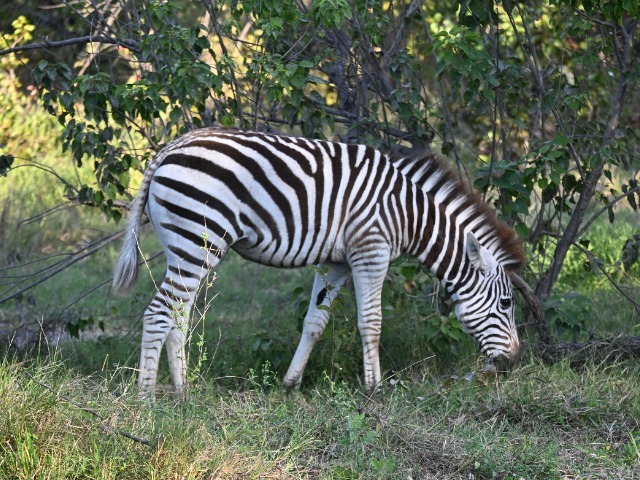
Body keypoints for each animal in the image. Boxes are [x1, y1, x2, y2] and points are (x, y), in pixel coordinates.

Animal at [112, 128, 525, 397]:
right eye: (507, 303)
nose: (512, 363)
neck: (409, 213)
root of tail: (170, 148)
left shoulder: (336, 263)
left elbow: (315, 321)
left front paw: (291, 383)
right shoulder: (370, 251)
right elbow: (371, 321)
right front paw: (374, 388)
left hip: (186, 248)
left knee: (178, 314)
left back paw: (183, 392)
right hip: (199, 241)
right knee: (159, 313)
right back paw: (147, 399)